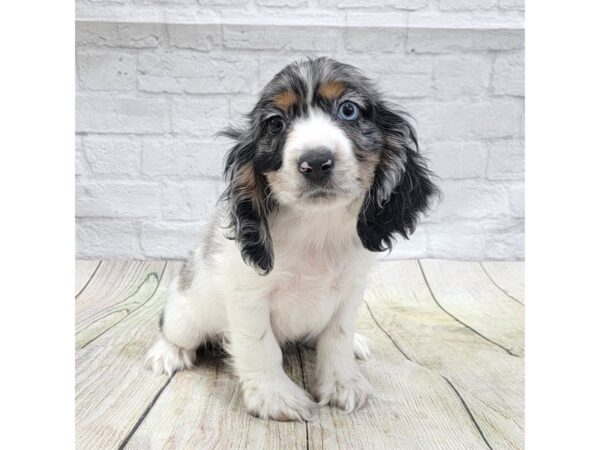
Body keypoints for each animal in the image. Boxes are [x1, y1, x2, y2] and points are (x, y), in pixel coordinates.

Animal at [145, 57, 436, 422]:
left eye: (349, 110)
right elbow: (260, 346)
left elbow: (337, 338)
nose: (316, 161)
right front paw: (274, 396)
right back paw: (167, 352)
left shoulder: (350, 291)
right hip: (187, 314)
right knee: (171, 329)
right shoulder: (248, 297)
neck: (316, 228)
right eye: (275, 124)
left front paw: (342, 382)